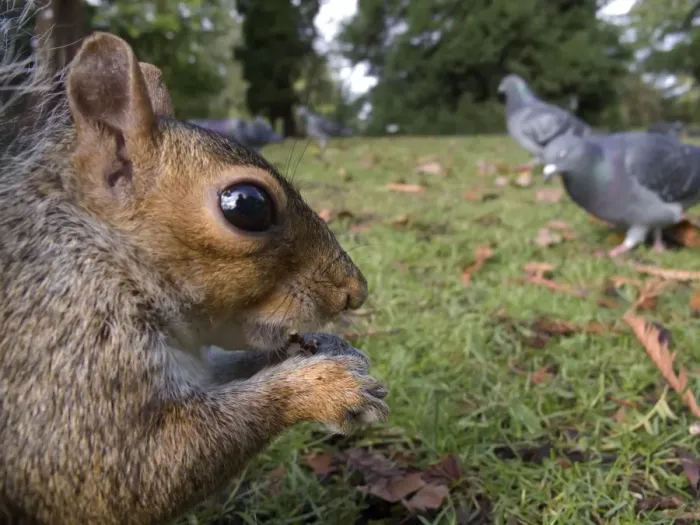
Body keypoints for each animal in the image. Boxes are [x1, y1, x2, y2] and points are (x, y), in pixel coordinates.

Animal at [0, 18, 389, 525]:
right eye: (248, 205)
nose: (353, 292)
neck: (106, 256)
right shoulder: (65, 355)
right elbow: (131, 471)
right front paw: (325, 387)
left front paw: (326, 347)